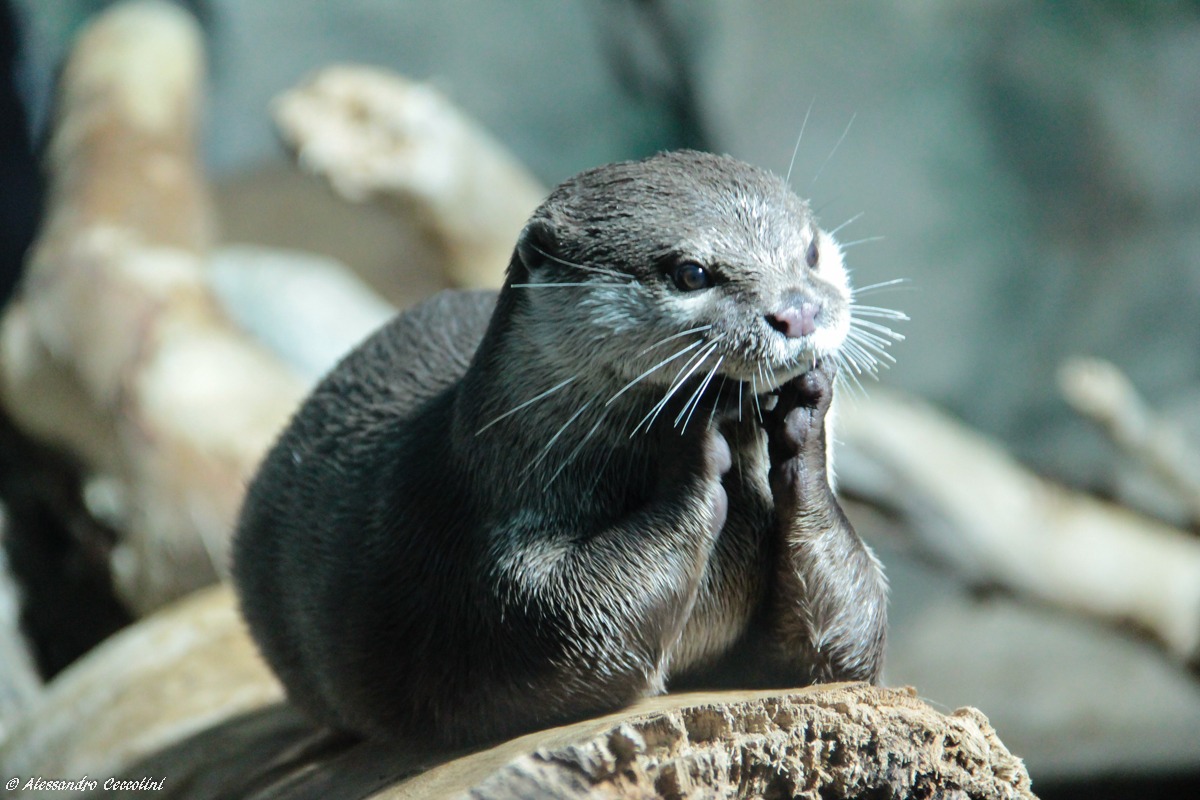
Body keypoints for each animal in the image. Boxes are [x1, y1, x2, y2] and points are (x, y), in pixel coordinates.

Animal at [232, 150, 893, 747]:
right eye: (691, 274)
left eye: (810, 252)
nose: (799, 311)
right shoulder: (484, 569)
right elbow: (574, 624)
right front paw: (691, 432)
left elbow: (847, 630)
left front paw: (807, 412)